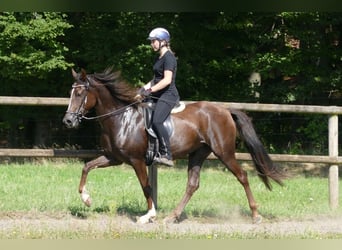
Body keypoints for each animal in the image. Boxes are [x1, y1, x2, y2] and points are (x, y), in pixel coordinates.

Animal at [62, 67, 284, 224]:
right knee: (192, 184)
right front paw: (87, 199)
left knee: (243, 176)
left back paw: (255, 215)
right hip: (198, 153)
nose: (68, 121)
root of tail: (225, 110)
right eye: (71, 93)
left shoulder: (136, 160)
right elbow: (87, 167)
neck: (121, 118)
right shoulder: (114, 158)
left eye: (80, 94)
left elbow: (146, 186)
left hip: (224, 152)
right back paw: (173, 216)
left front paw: (149, 215)